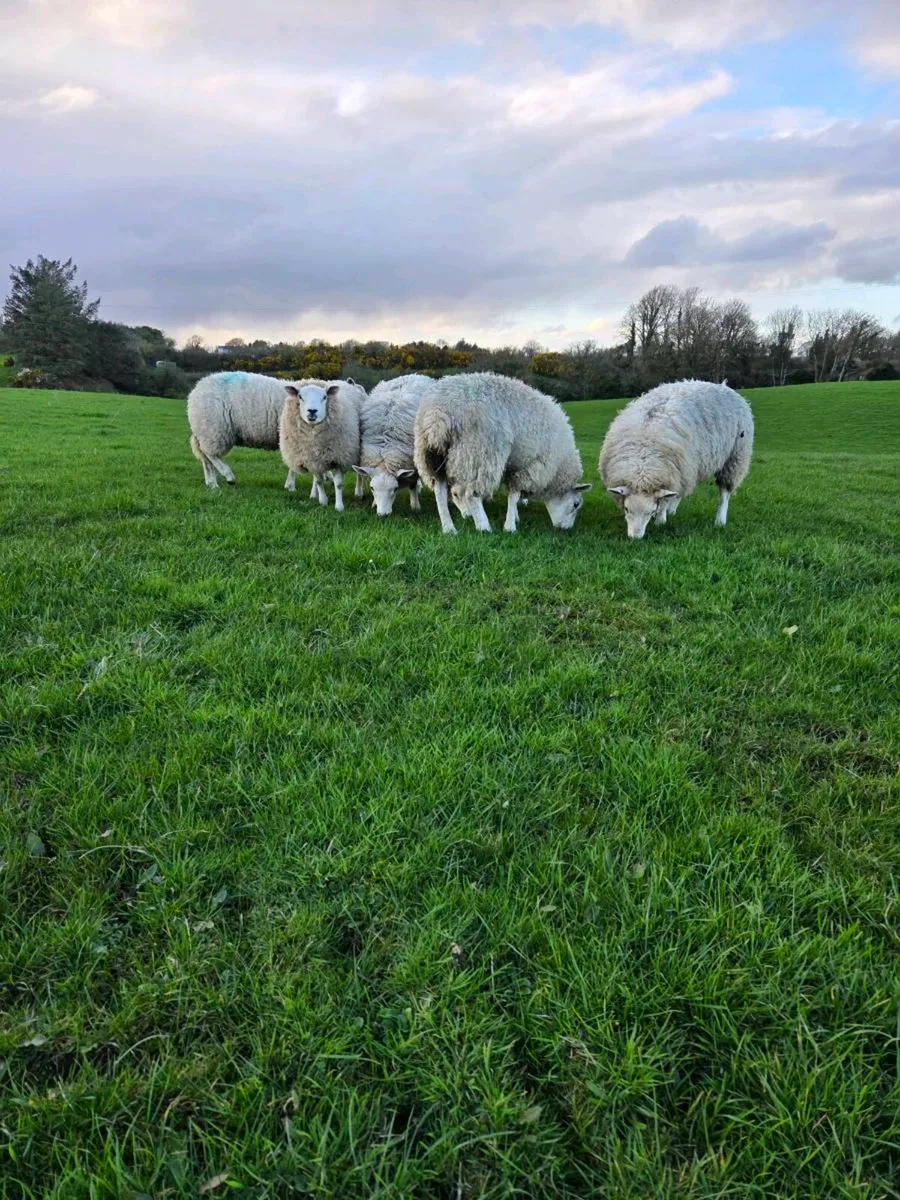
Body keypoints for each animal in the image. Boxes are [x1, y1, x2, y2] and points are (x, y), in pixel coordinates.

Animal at [187, 370, 367, 497]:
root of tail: (197, 387)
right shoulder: (295, 439)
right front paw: (293, 486)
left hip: (206, 431)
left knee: (206, 459)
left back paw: (212, 483)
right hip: (213, 429)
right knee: (211, 455)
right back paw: (228, 476)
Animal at [279, 379, 365, 511]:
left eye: (324, 397)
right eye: (300, 396)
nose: (312, 411)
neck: (314, 440)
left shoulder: (337, 457)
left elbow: (339, 484)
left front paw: (339, 507)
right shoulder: (311, 460)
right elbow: (319, 481)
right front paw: (323, 501)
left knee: (359, 473)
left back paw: (359, 492)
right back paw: (314, 494)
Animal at [353, 374, 437, 516]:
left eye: (395, 488)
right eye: (372, 488)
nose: (382, 515)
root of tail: (413, 375)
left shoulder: (412, 462)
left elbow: (413, 484)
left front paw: (415, 506)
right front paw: (374, 503)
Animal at [413, 372, 591, 535]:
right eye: (576, 504)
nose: (566, 529)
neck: (559, 466)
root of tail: (438, 413)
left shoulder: (513, 465)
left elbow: (513, 495)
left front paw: (515, 517)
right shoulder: (531, 467)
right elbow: (514, 495)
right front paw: (510, 526)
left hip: (433, 455)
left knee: (440, 491)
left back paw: (449, 528)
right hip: (481, 452)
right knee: (472, 494)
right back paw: (483, 526)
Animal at [598, 379, 754, 539]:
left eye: (651, 512)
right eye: (627, 509)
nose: (635, 538)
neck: (643, 458)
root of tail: (722, 385)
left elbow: (663, 503)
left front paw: (660, 521)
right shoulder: (677, 471)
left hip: (735, 457)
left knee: (724, 492)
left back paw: (720, 520)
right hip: (690, 467)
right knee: (682, 489)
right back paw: (673, 509)